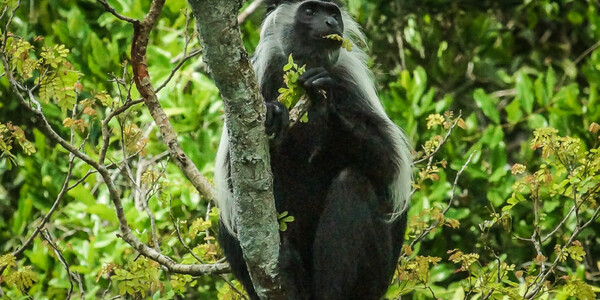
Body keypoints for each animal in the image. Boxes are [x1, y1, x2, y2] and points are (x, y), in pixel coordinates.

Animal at [216, 1, 412, 298]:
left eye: (332, 13)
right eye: (310, 11)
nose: (331, 23)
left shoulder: (348, 77)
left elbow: (390, 165)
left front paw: (327, 108)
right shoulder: (260, 77)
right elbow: (237, 177)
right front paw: (275, 115)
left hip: (375, 273)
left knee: (353, 182)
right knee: (230, 221)